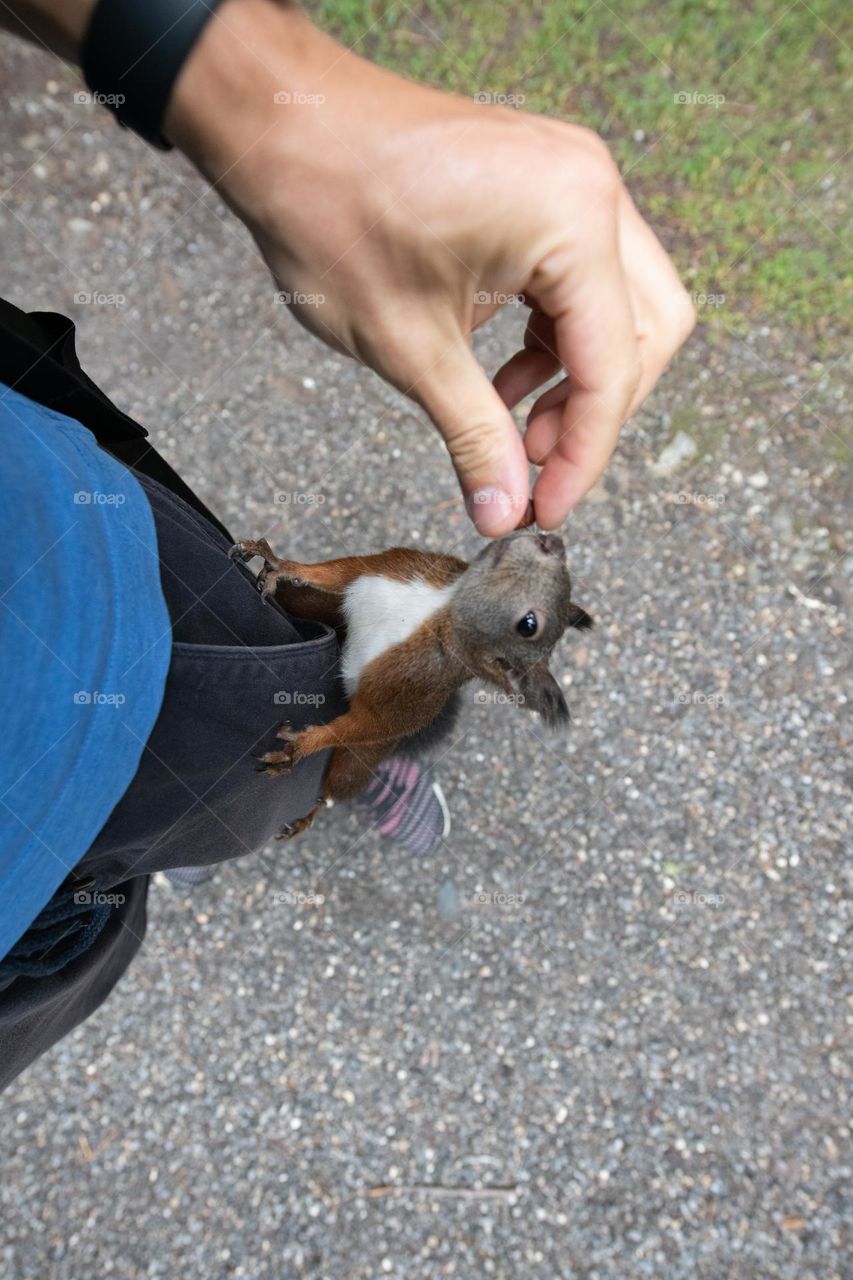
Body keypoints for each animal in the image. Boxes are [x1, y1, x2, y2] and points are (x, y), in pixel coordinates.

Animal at [229, 531, 593, 837]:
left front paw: (302, 746)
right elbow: (336, 572)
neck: (438, 609)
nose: (551, 541)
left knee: (335, 788)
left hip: (360, 761)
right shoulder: (393, 566)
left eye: (529, 624)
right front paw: (278, 563)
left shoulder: (409, 692)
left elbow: (371, 723)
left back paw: (309, 814)